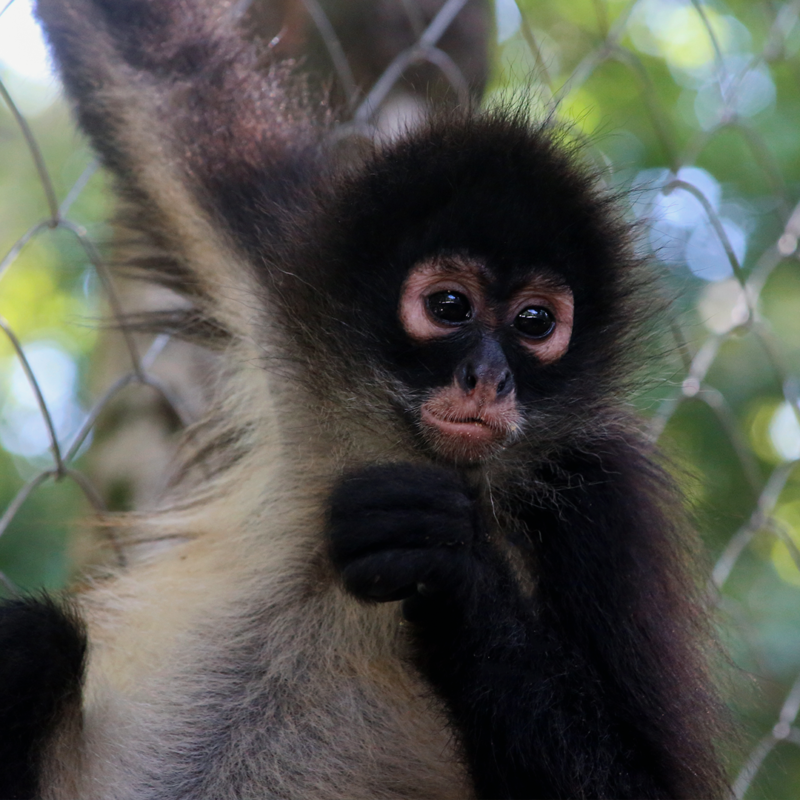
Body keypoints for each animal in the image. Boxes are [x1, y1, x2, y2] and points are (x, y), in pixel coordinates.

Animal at [0, 0, 730, 798]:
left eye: (535, 322)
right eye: (449, 306)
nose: (488, 377)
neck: (398, 449)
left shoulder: (604, 497)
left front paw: (454, 571)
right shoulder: (292, 267)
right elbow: (145, 59)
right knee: (31, 641)